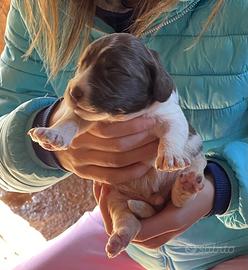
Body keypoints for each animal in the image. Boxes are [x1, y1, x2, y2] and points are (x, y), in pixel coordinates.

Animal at [28, 33, 206, 258]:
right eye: (81, 65)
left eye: (115, 71)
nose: (72, 91)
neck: (122, 117)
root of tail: (154, 201)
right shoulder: (87, 115)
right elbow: (70, 119)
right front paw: (53, 133)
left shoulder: (172, 116)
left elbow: (172, 133)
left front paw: (170, 156)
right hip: (116, 197)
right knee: (127, 220)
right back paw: (119, 238)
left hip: (195, 163)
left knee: (177, 201)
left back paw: (186, 186)